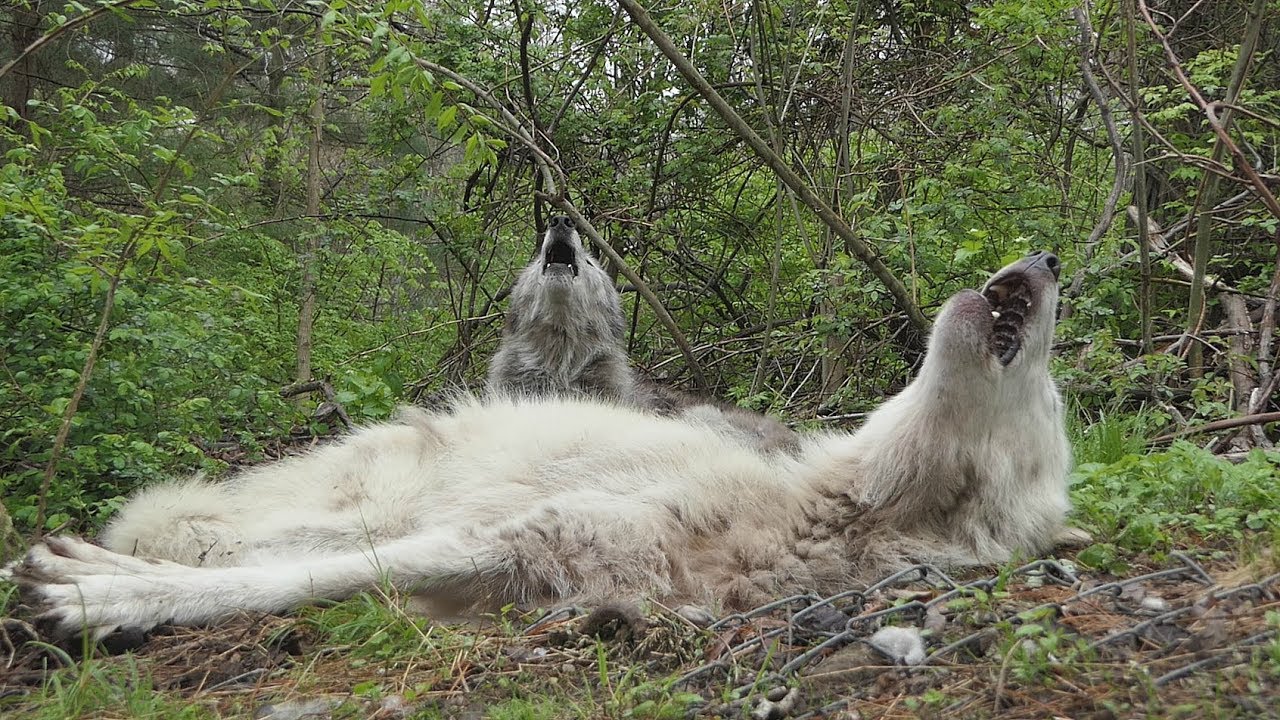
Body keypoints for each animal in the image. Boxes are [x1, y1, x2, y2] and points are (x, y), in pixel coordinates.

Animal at [10, 251, 1070, 639]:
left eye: (1054, 406)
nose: (1049, 258)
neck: (826, 514)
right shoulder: (507, 530)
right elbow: (293, 578)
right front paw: (97, 589)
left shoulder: (526, 557)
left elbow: (308, 581)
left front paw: (98, 594)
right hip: (365, 492)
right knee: (230, 534)